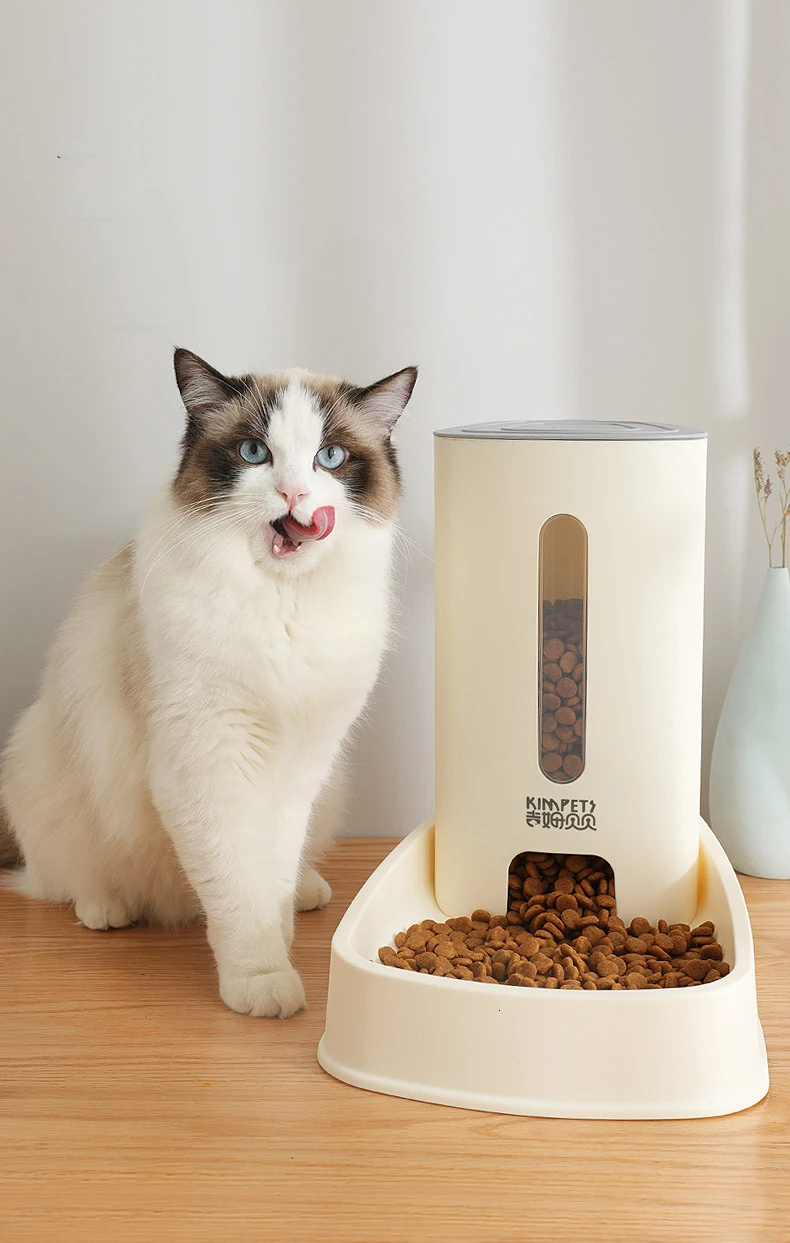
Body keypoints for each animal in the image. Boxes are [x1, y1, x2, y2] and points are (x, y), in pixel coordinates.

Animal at [0, 349, 417, 1018]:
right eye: (254, 453)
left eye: (329, 457)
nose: (295, 493)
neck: (282, 604)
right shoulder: (208, 765)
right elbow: (238, 888)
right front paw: (264, 981)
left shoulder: (296, 768)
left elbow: (269, 876)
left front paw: (281, 940)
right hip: (41, 765)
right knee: (63, 879)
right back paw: (106, 907)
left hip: (326, 789)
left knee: (294, 864)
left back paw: (308, 892)